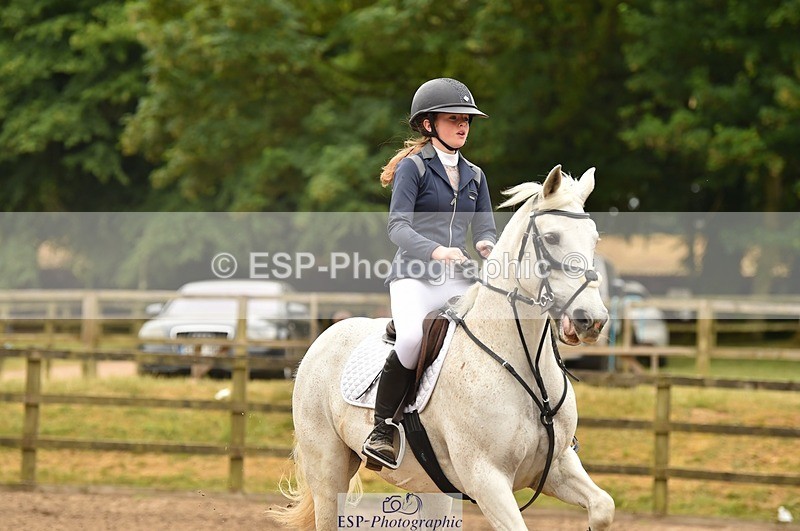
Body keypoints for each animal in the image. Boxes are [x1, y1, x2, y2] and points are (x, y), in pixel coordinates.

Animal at [273, 165, 615, 530]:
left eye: (594, 238)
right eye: (551, 238)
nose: (591, 320)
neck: (524, 366)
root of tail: (326, 335)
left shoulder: (556, 465)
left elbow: (603, 507)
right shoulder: (486, 479)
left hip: (434, 488)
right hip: (328, 470)